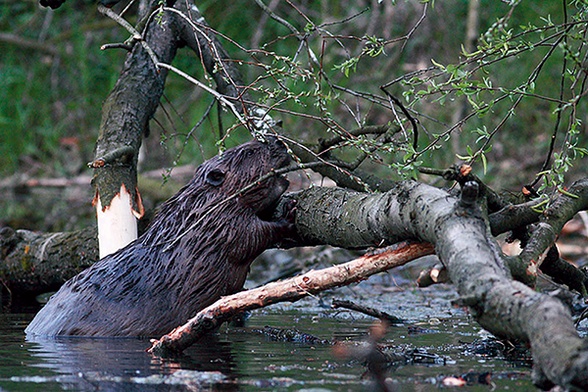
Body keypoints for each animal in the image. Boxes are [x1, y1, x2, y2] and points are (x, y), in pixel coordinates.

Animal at [25, 137, 296, 336]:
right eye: (249, 152)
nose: (280, 142)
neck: (198, 208)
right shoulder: (220, 224)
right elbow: (250, 237)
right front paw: (289, 214)